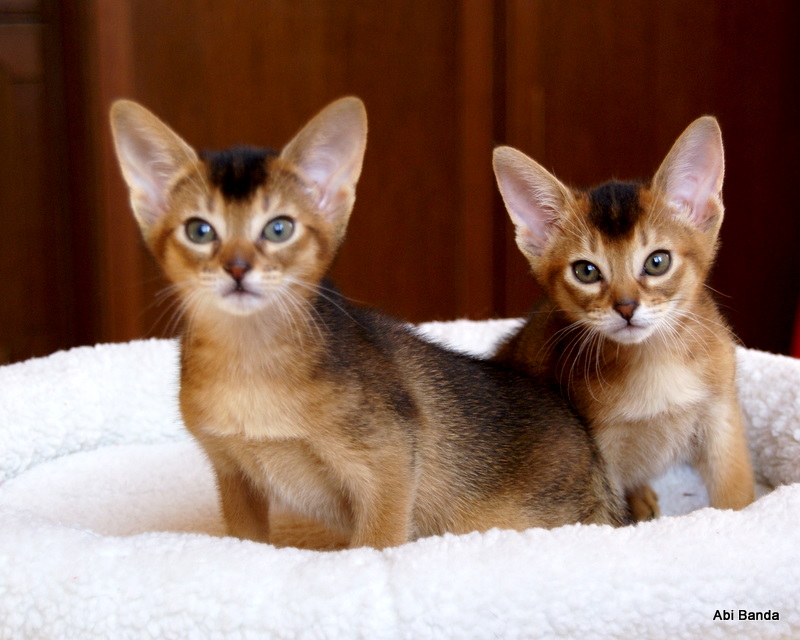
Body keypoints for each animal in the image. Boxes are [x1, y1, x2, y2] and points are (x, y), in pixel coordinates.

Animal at [109, 96, 627, 549]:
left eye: (279, 228)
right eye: (199, 230)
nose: (237, 269)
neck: (251, 364)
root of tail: (596, 463)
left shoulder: (391, 457)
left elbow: (377, 541)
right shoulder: (233, 473)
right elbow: (245, 541)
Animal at [492, 116, 755, 520]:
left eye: (658, 262)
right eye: (586, 271)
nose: (627, 307)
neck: (655, 363)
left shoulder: (721, 417)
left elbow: (736, 496)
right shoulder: (601, 454)